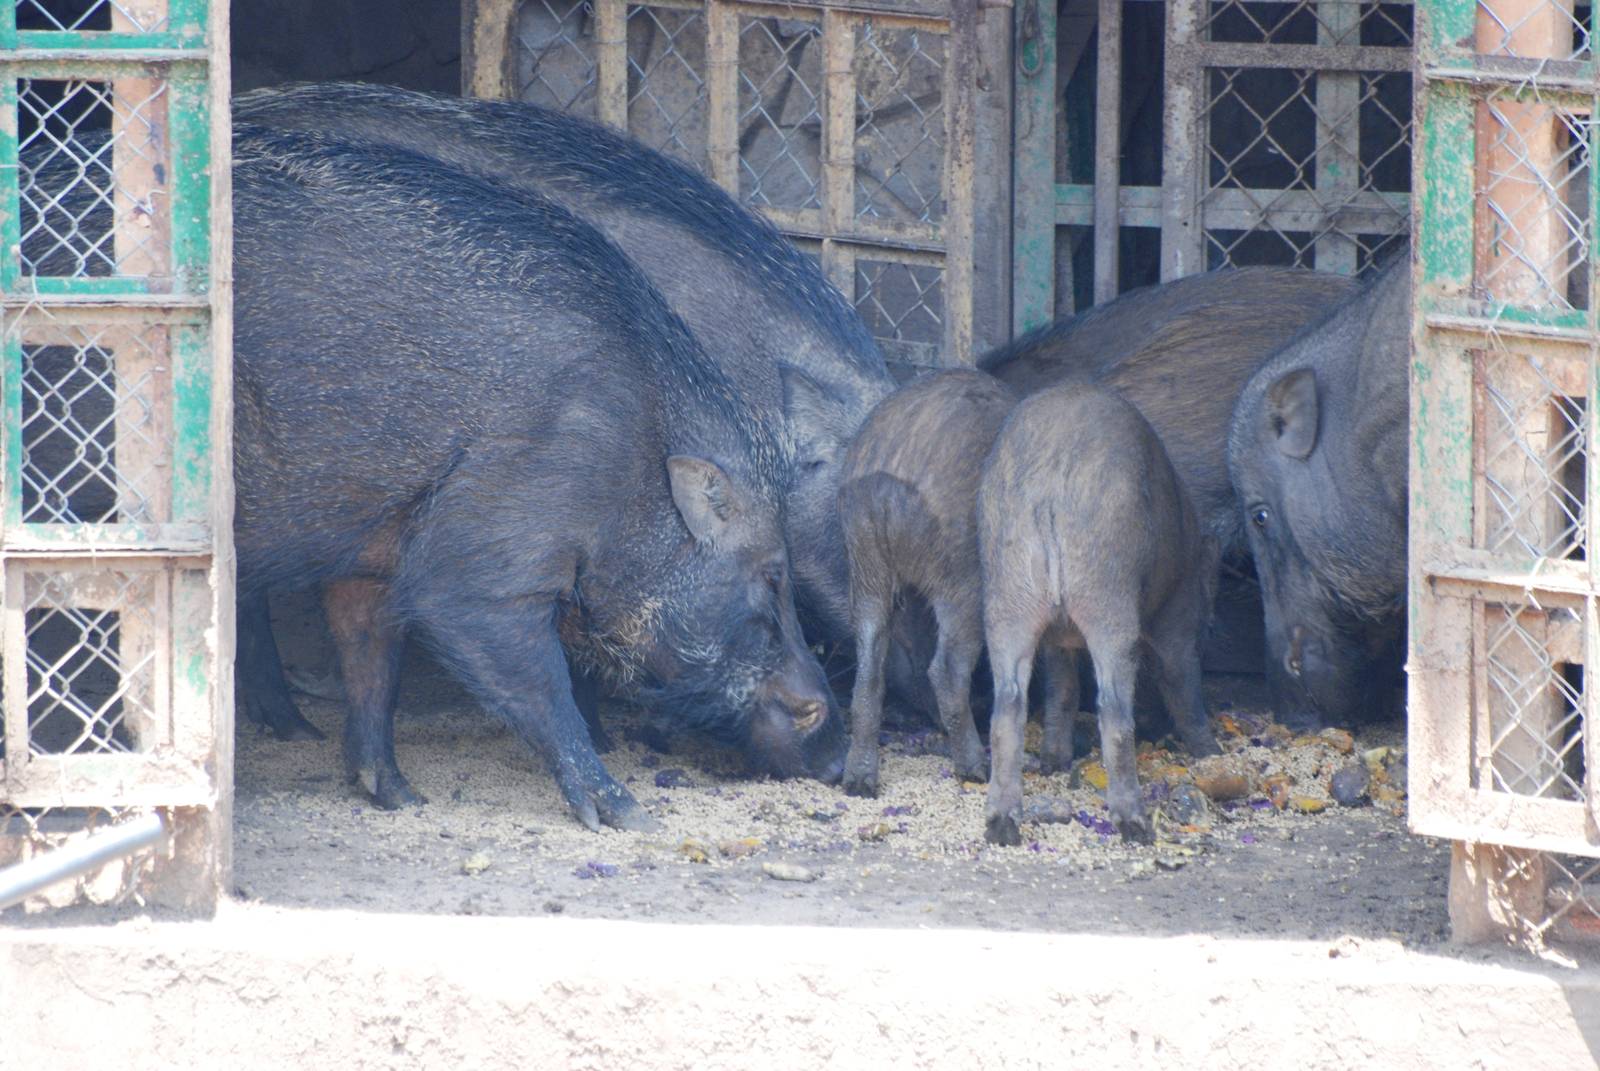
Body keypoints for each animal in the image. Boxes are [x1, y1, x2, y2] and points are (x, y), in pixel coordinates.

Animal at [230, 123, 843, 828]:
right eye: (772, 575)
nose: (846, 764)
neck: (636, 452)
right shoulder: (487, 553)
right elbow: (539, 683)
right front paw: (629, 815)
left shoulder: (375, 551)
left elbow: (373, 664)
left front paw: (404, 800)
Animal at [836, 370, 1019, 796]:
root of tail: (889, 479)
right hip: (964, 581)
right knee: (946, 670)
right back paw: (975, 768)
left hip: (866, 565)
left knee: (869, 670)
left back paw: (860, 780)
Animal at [980, 383, 1220, 846]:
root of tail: (1051, 481)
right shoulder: (1177, 617)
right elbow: (1181, 679)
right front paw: (1212, 752)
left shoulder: (1055, 639)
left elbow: (1061, 690)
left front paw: (1054, 760)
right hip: (1109, 601)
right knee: (1114, 711)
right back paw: (1135, 826)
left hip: (1008, 601)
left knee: (1007, 708)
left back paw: (1002, 825)